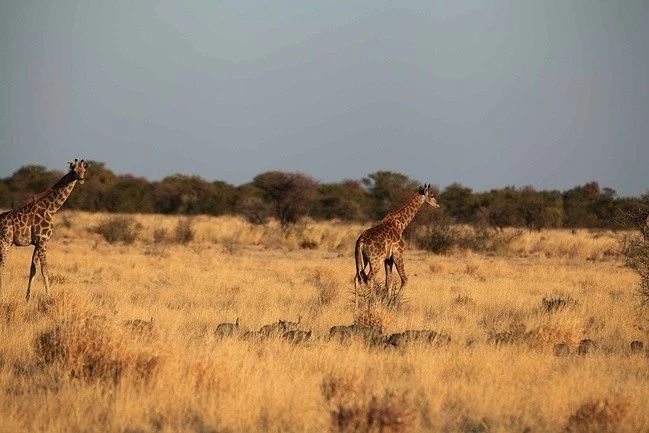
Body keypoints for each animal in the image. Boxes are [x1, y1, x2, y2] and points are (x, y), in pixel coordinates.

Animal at [0, 159, 89, 300]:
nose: (81, 179)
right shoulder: (43, 240)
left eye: (84, 170)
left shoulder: (38, 242)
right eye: (74, 170)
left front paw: (28, 298)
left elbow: (33, 268)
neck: (51, 209)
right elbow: (44, 269)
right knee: (1, 266)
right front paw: (49, 296)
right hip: (5, 242)